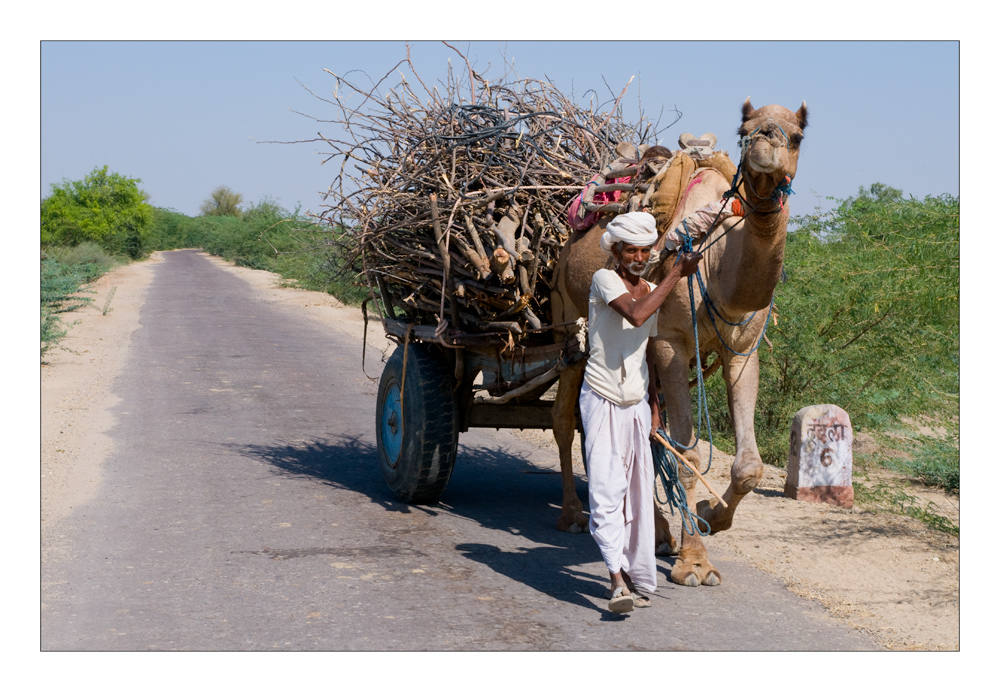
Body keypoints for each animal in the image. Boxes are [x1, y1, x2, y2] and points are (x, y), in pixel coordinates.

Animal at [552, 98, 808, 584]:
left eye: (799, 134)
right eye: (744, 129)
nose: (765, 143)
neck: (717, 258)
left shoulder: (742, 349)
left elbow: (749, 466)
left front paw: (710, 513)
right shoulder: (672, 342)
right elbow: (687, 456)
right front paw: (695, 562)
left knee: (644, 432)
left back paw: (658, 533)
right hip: (569, 314)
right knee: (565, 419)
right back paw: (574, 514)